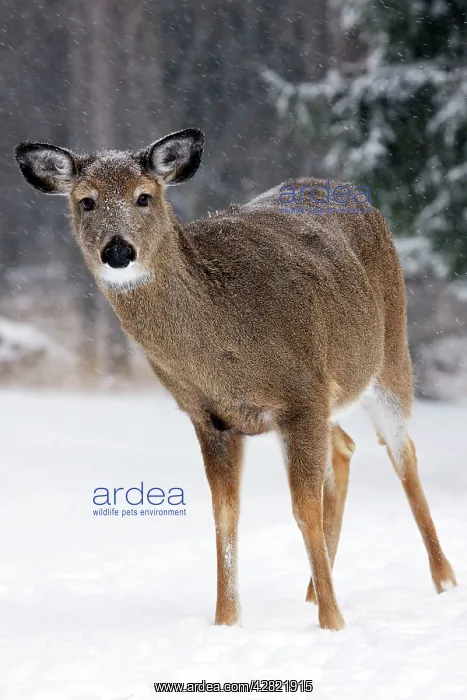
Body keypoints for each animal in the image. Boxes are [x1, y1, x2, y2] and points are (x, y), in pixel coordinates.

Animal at [15, 129, 457, 631]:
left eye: (144, 196)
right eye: (86, 201)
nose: (118, 251)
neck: (225, 349)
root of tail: (351, 191)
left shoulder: (301, 393)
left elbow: (302, 509)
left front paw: (333, 623)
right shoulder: (210, 416)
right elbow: (225, 515)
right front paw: (227, 621)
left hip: (390, 352)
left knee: (403, 454)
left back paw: (442, 580)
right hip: (328, 397)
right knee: (345, 447)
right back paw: (311, 589)